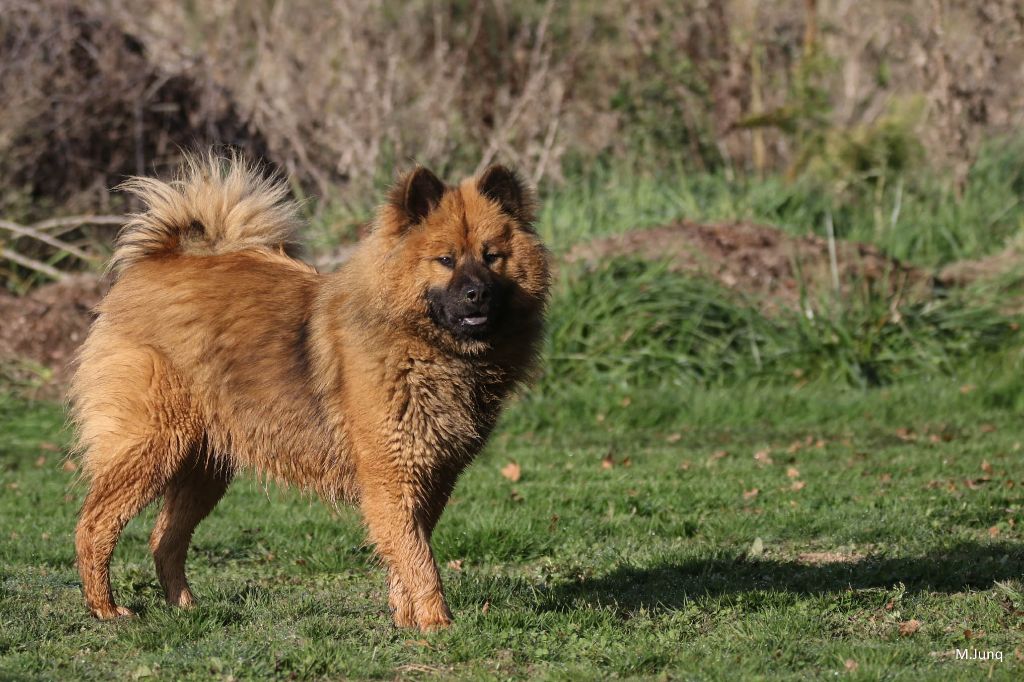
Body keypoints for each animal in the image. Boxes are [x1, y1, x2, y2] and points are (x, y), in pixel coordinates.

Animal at [70, 151, 552, 630]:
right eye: (445, 259)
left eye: (492, 257)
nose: (477, 294)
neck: (426, 347)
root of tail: (156, 262)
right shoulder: (392, 477)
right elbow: (419, 558)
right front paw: (438, 624)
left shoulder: (432, 477)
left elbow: (406, 553)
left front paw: (405, 618)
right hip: (152, 445)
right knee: (94, 525)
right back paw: (105, 607)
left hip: (205, 466)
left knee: (165, 538)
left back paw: (185, 605)